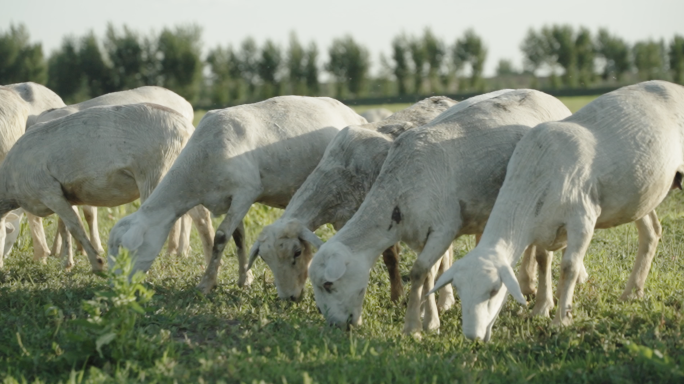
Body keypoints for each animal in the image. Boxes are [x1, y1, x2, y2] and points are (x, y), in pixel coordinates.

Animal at [0, 102, 214, 270]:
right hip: (184, 176)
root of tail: (188, 128)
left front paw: (97, 264)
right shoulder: (64, 193)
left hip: (157, 174)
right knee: (202, 217)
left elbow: (75, 226)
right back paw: (210, 263)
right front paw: (67, 263)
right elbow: (65, 227)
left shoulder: (48, 191)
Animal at [108, 94, 368, 290]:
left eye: (123, 249)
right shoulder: (232, 200)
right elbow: (239, 237)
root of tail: (354, 114)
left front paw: (207, 283)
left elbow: (221, 237)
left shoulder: (246, 192)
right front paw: (245, 279)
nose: (115, 285)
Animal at [246, 96, 460, 304]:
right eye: (264, 259)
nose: (289, 298)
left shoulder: (384, 214)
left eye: (297, 252)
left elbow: (390, 258)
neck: (338, 173)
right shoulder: (346, 222)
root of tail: (447, 99)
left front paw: (396, 298)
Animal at [306, 88, 572, 334]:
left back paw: (546, 304)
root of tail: (549, 97)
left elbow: (418, 272)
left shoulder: (443, 229)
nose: (336, 325)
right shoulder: (423, 234)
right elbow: (429, 274)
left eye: (328, 284)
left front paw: (414, 326)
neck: (397, 192)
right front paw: (430, 317)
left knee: (545, 256)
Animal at [430, 79, 684, 340]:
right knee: (651, 232)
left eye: (493, 291)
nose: (473, 336)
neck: (532, 178)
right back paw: (632, 293)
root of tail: (674, 85)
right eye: (460, 291)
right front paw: (541, 309)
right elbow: (543, 261)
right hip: (640, 194)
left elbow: (569, 267)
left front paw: (561, 320)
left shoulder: (583, 218)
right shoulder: (545, 222)